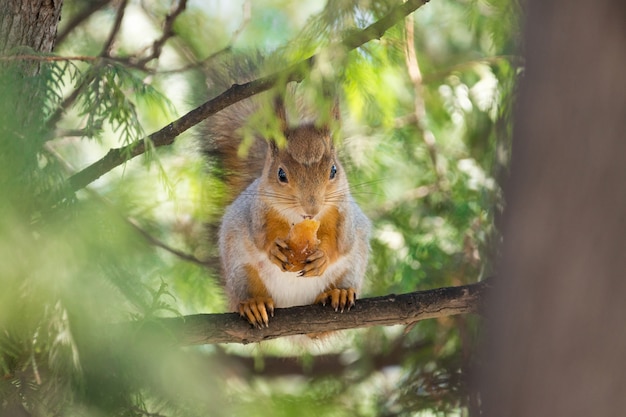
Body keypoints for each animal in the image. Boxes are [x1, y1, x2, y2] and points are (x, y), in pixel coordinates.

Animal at [204, 57, 370, 326]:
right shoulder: (257, 210)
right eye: (281, 174)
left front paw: (324, 256)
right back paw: (254, 304)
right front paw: (273, 249)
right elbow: (259, 237)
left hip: (353, 267)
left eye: (333, 170)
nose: (311, 208)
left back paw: (339, 292)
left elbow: (342, 243)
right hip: (240, 269)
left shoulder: (344, 215)